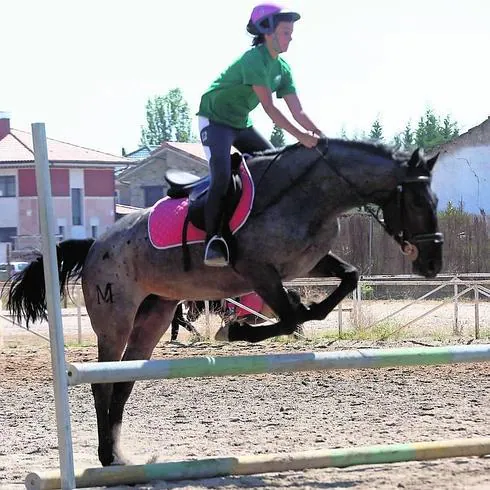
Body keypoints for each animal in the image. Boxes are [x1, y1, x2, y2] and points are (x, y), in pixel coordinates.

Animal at [6, 139, 444, 468]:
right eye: (417, 203)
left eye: (435, 200)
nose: (433, 265)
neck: (308, 196)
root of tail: (95, 243)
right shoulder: (258, 271)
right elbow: (287, 316)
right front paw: (234, 329)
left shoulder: (309, 262)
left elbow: (344, 280)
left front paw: (303, 310)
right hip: (115, 319)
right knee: (103, 381)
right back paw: (106, 456)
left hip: (155, 316)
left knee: (126, 380)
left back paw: (117, 454)